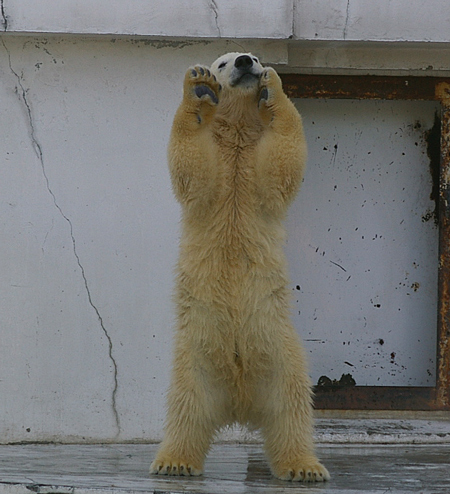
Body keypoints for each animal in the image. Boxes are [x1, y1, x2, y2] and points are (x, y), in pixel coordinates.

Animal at [149, 54, 328, 482]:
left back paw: (303, 466)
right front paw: (197, 86)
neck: (237, 136)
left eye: (255, 57)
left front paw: (272, 86)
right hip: (194, 357)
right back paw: (174, 461)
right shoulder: (215, 173)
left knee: (291, 409)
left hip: (281, 353)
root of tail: (240, 400)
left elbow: (282, 165)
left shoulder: (256, 175)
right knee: (187, 409)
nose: (247, 63)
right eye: (223, 61)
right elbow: (192, 169)